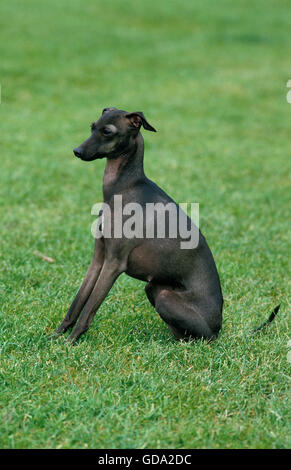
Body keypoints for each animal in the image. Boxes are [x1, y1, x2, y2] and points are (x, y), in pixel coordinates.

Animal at [54, 107, 278, 342]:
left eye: (107, 131)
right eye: (92, 127)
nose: (77, 151)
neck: (125, 187)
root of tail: (219, 329)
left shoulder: (114, 263)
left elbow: (89, 309)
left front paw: (71, 341)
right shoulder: (99, 258)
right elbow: (77, 302)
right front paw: (56, 337)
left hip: (165, 298)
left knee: (200, 339)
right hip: (153, 287)